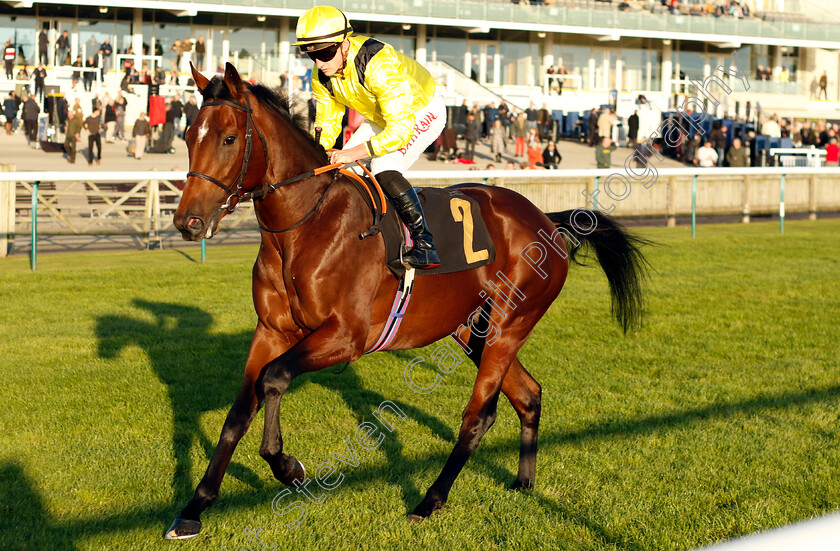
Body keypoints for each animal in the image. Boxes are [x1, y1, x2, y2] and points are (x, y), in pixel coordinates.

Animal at [166, 63, 648, 540]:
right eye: (188, 135)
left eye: (229, 138)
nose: (188, 222)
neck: (306, 225)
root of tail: (544, 219)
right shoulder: (270, 331)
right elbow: (238, 412)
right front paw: (194, 507)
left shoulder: (346, 336)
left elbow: (273, 379)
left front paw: (288, 467)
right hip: (472, 330)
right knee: (528, 395)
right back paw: (524, 483)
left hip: (510, 323)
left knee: (477, 416)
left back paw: (429, 501)